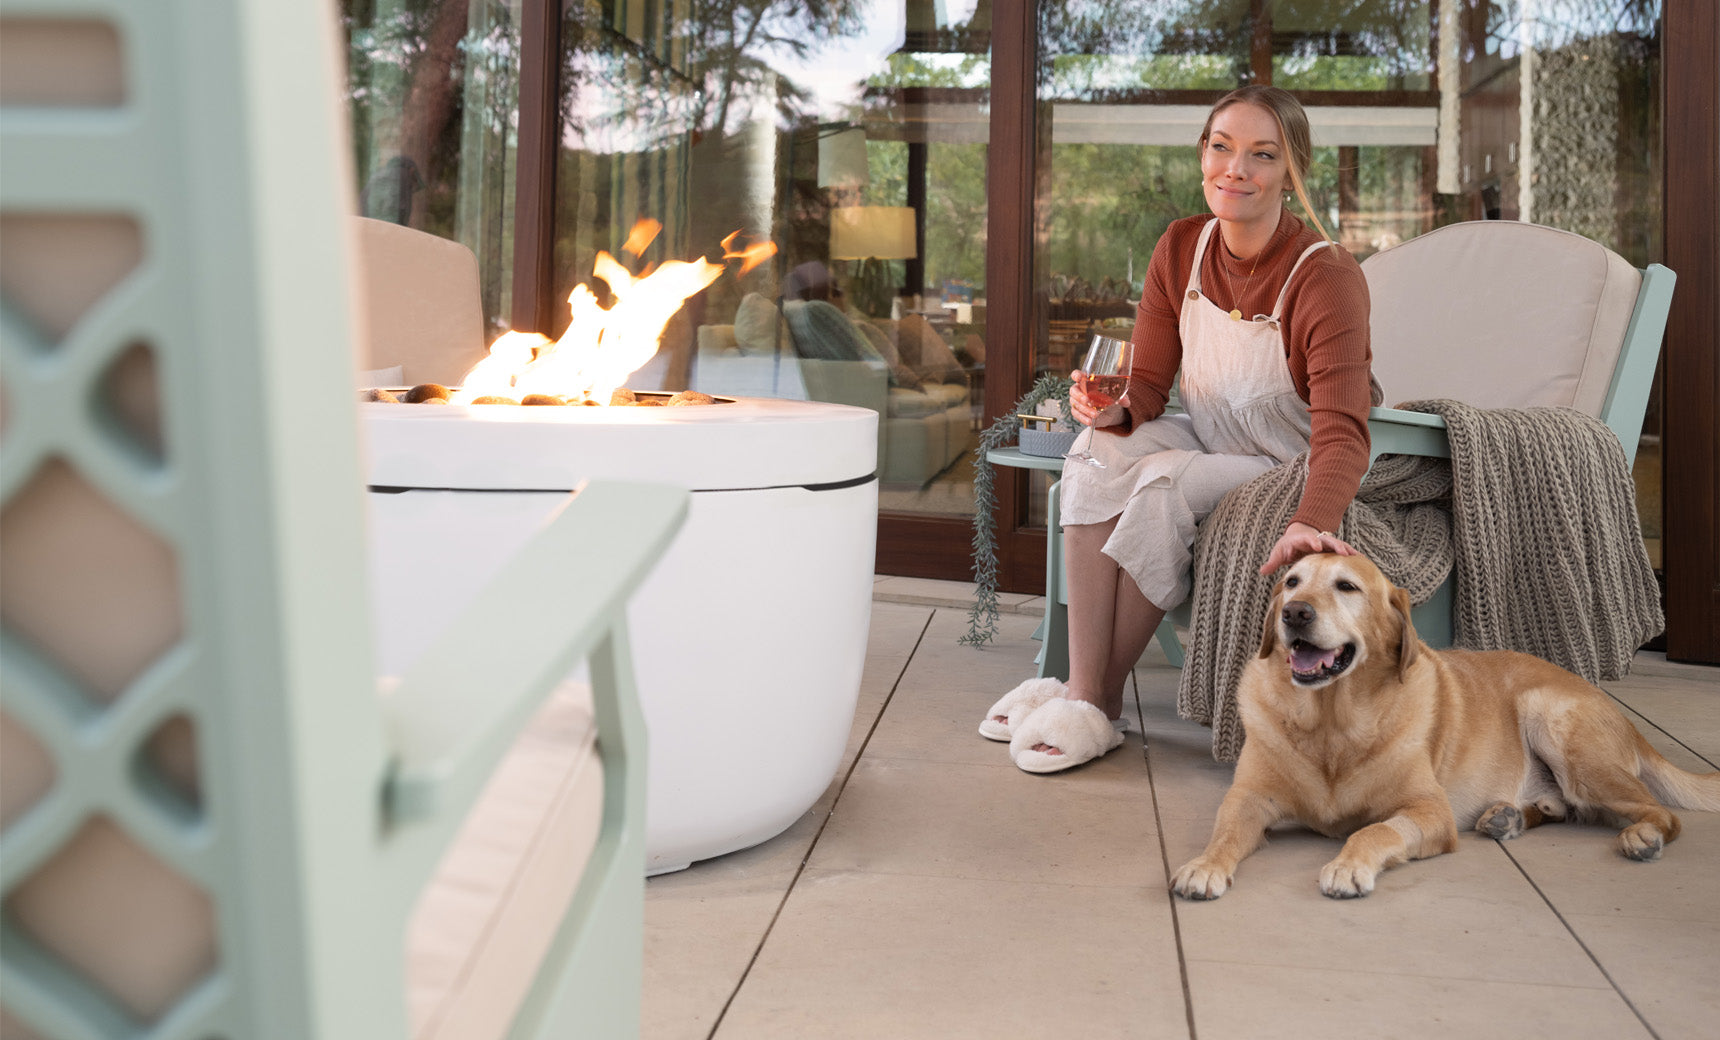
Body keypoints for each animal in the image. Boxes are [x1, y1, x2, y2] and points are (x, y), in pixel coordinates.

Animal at [1169, 550, 1720, 900]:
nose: (1294, 613)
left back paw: (1640, 837)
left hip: (1555, 725)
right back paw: (1508, 816)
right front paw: (1204, 865)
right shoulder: (1248, 799)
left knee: (1657, 814)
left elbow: (1374, 832)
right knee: (1567, 809)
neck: (1331, 725)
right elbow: (1224, 834)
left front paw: (1349, 864)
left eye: (1346, 586)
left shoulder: (1428, 812)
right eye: (1291, 582)